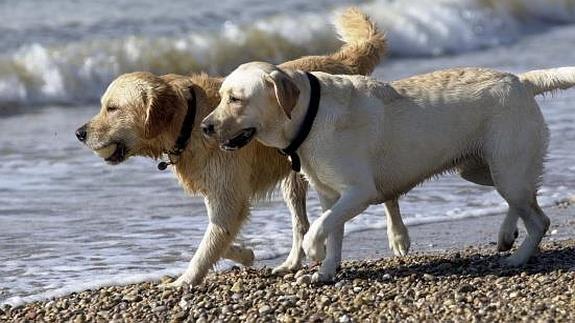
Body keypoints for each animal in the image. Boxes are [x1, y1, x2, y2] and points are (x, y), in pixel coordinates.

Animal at [75, 7, 400, 288]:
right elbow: (219, 238)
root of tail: (339, 60)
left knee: (385, 192)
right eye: (103, 106)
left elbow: (208, 245)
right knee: (301, 223)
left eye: (112, 108)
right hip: (295, 179)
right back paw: (291, 262)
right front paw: (245, 254)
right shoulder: (218, 192)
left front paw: (184, 280)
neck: (189, 120)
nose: (79, 133)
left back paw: (398, 236)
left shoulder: (227, 193)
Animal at [202, 62, 575, 282]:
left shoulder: (358, 192)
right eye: (220, 96)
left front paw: (313, 252)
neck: (310, 115)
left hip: (506, 167)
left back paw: (518, 258)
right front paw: (325, 272)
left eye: (235, 99)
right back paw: (507, 234)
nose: (204, 127)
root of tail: (521, 80)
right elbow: (333, 231)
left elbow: (319, 229)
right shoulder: (331, 197)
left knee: (538, 218)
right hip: (482, 169)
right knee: (526, 197)